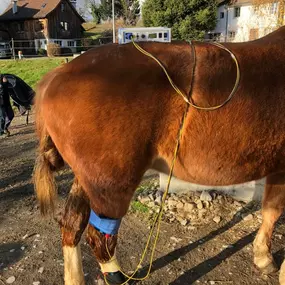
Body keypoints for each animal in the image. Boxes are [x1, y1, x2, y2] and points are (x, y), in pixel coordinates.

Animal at [35, 25, 285, 282]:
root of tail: (56, 75)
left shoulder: (279, 169)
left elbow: (271, 209)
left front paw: (263, 256)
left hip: (87, 180)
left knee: (71, 225)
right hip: (110, 186)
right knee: (100, 238)